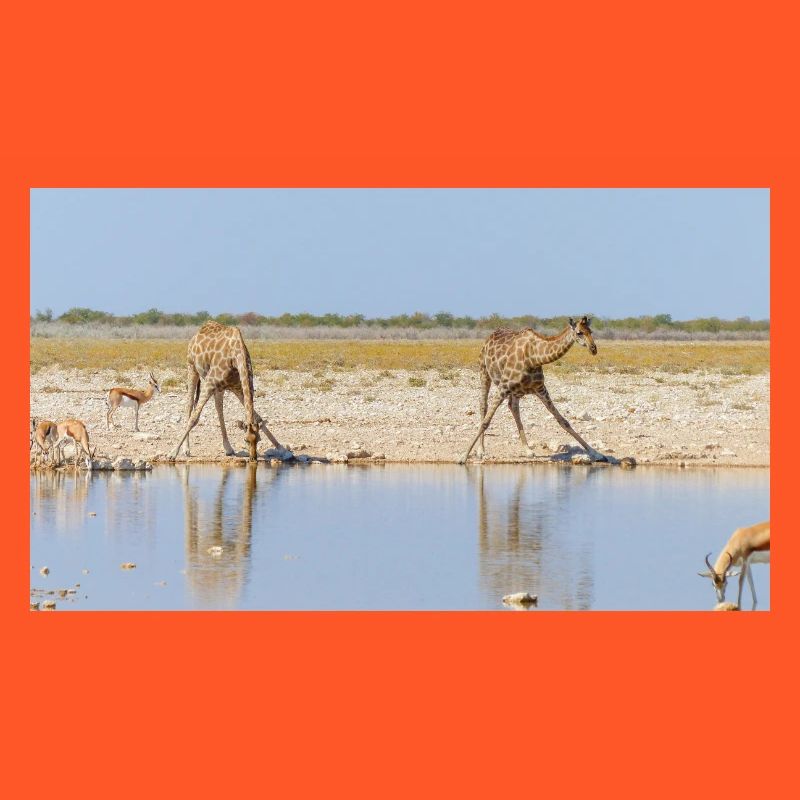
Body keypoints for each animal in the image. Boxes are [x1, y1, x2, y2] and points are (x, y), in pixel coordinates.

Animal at [168, 321, 284, 462]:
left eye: (258, 440)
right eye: (245, 440)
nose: (253, 459)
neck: (236, 356)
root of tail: (197, 333)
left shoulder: (238, 387)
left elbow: (258, 417)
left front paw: (281, 448)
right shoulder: (209, 383)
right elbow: (194, 418)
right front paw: (172, 453)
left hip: (220, 387)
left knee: (219, 408)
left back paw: (228, 447)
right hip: (192, 367)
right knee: (189, 406)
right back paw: (186, 449)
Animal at [458, 316, 607, 464]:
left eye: (591, 331)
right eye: (579, 333)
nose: (593, 349)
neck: (534, 357)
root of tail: (490, 336)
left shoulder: (540, 389)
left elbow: (563, 421)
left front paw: (597, 453)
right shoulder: (503, 387)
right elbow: (486, 422)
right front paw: (463, 456)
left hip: (516, 391)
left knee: (513, 407)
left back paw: (527, 450)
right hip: (484, 373)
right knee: (483, 405)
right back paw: (481, 450)